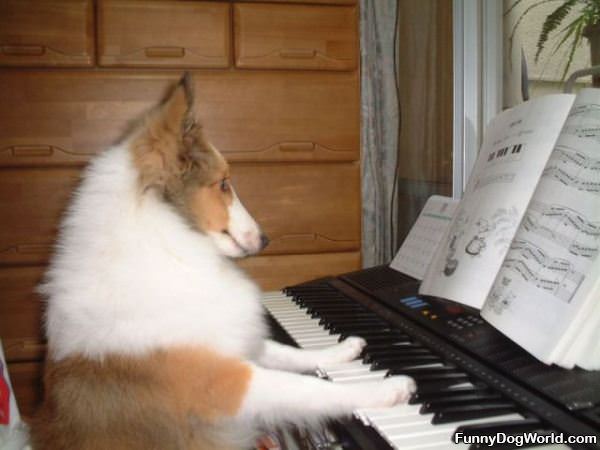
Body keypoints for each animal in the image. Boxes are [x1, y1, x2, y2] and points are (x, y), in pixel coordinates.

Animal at [31, 74, 418, 450]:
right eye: (223, 184)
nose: (265, 240)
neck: (168, 240)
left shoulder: (232, 343)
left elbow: (290, 353)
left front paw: (343, 349)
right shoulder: (227, 384)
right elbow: (311, 389)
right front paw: (387, 388)